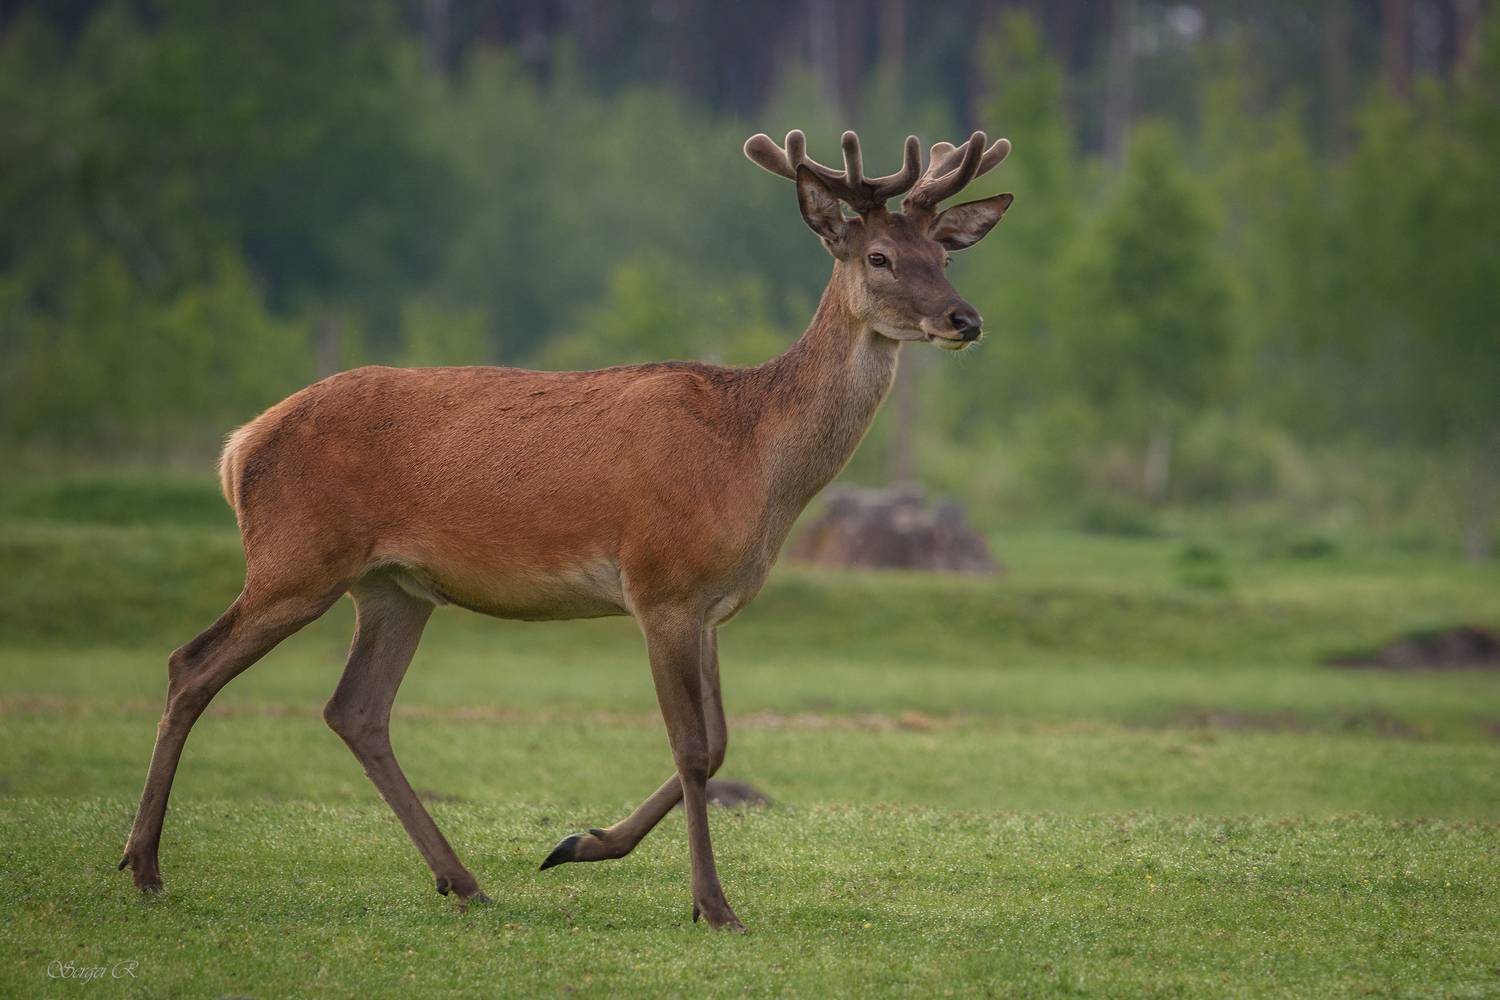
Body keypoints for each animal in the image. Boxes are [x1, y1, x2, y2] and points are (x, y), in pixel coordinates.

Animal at [117, 128, 1012, 931]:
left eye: (946, 257)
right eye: (879, 258)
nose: (965, 318)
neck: (756, 463)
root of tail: (239, 447)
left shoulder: (711, 602)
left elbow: (722, 742)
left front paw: (578, 843)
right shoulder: (659, 582)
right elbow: (693, 747)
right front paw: (713, 905)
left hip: (392, 588)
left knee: (355, 710)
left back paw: (463, 881)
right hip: (295, 558)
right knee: (191, 664)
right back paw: (145, 865)